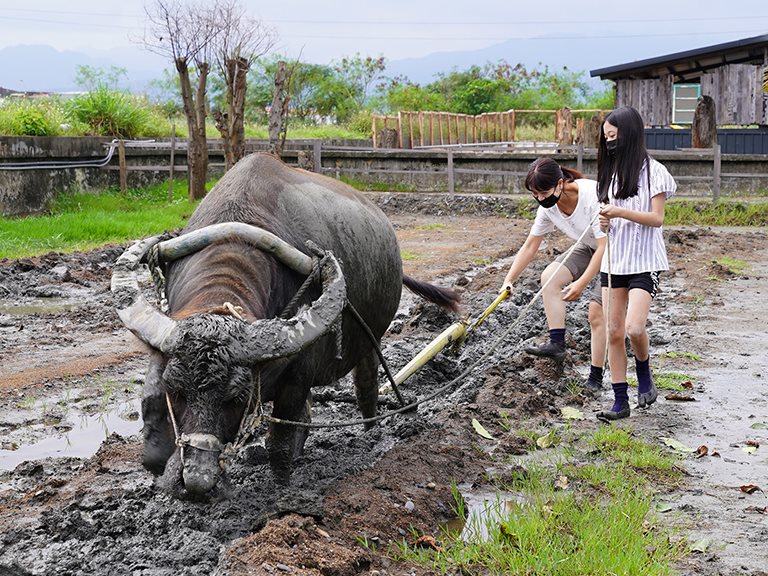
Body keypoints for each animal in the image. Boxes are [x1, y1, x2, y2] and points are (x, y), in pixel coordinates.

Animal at [112, 153, 460, 500]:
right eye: (176, 390)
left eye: (237, 398)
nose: (197, 483)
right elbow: (151, 410)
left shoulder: (298, 376)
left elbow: (278, 441)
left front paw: (281, 488)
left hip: (369, 340)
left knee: (366, 389)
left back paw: (371, 434)